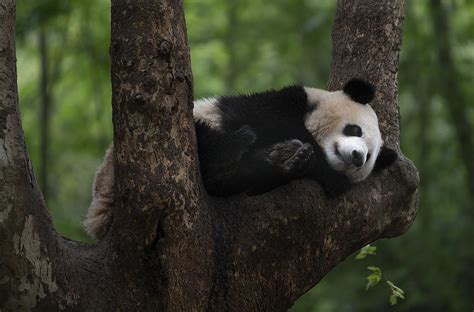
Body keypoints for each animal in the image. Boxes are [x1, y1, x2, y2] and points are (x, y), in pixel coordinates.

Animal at [84, 78, 396, 239]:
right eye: (354, 129)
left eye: (370, 156)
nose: (357, 157)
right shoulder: (274, 105)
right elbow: (278, 123)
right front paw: (326, 172)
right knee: (209, 143)